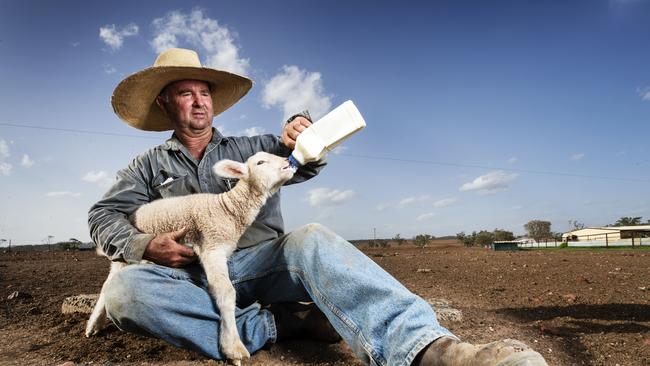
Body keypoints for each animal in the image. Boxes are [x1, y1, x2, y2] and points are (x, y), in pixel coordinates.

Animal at [87, 150, 294, 364]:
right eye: (260, 162)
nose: (287, 161)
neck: (228, 209)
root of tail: (133, 213)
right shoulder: (212, 247)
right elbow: (226, 292)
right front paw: (234, 347)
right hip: (123, 256)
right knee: (107, 285)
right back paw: (94, 324)